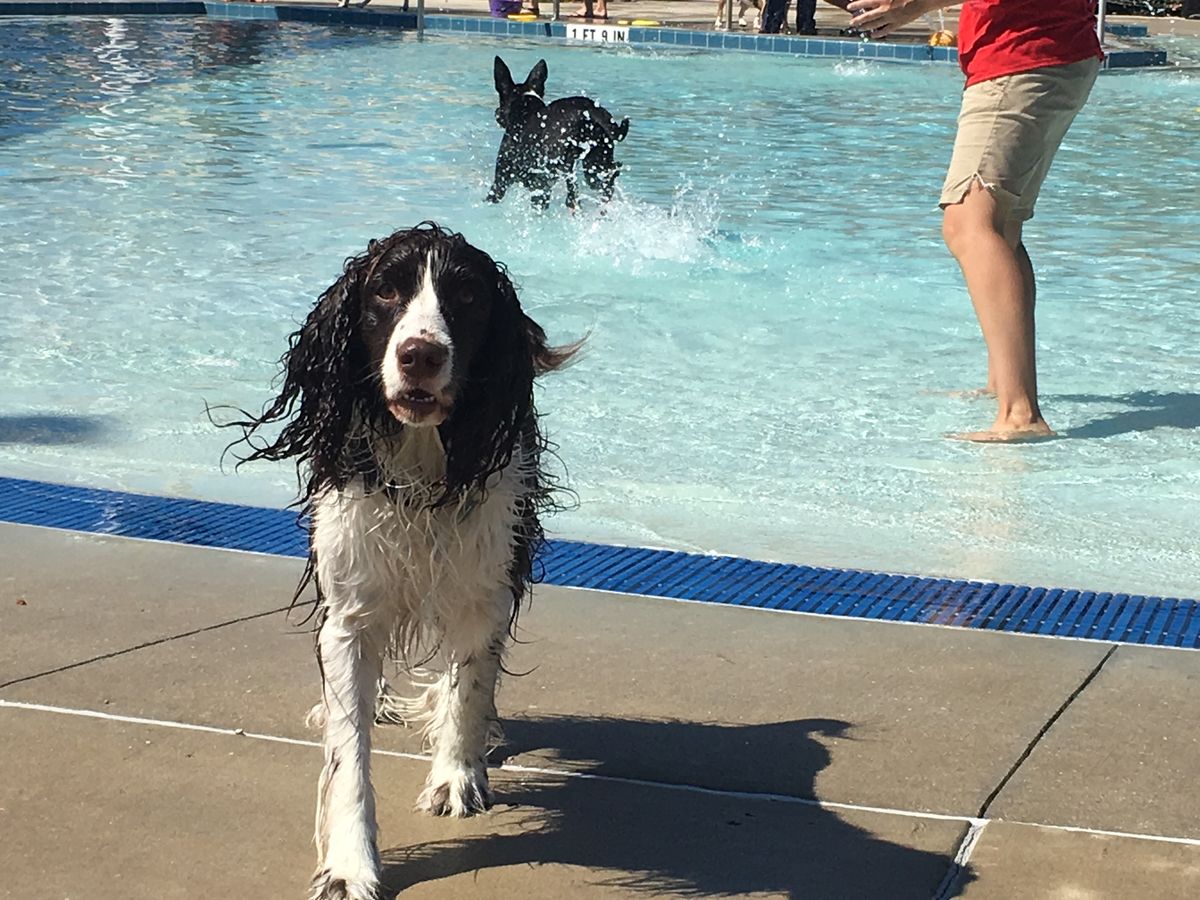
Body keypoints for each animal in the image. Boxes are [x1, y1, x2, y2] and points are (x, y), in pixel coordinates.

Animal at [484, 56, 633, 213]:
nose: (497, 113)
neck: (525, 106)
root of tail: (588, 112)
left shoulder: (502, 180)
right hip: (595, 164)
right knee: (605, 181)